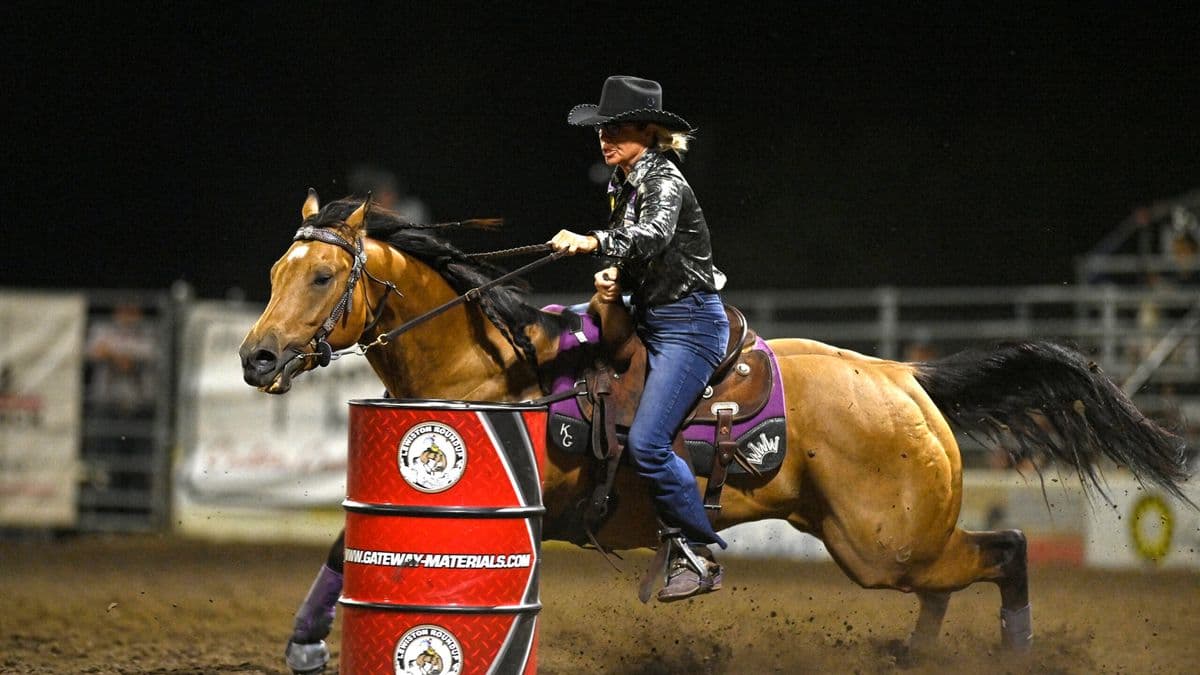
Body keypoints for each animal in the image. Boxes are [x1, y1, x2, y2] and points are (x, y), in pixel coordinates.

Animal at [240, 193, 1194, 673]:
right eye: (278, 268)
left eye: (322, 275)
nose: (255, 357)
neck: (496, 367)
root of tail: (907, 378)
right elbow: (346, 548)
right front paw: (305, 643)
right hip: (885, 547)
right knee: (956, 578)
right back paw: (914, 655)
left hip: (886, 542)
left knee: (1006, 549)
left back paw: (1012, 652)